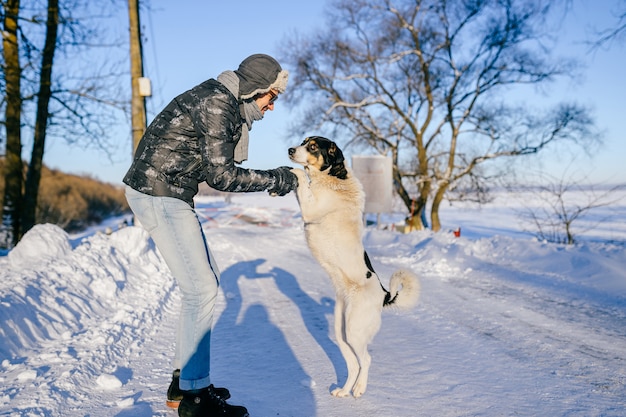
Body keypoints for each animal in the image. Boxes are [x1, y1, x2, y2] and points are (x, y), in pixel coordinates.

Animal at [288, 136, 420, 396]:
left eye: (312, 146)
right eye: (302, 141)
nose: (290, 150)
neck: (334, 178)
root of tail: (384, 295)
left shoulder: (311, 208)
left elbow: (302, 178)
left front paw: (292, 170)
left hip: (355, 330)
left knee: (366, 360)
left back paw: (359, 389)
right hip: (343, 332)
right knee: (352, 363)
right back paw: (344, 389)